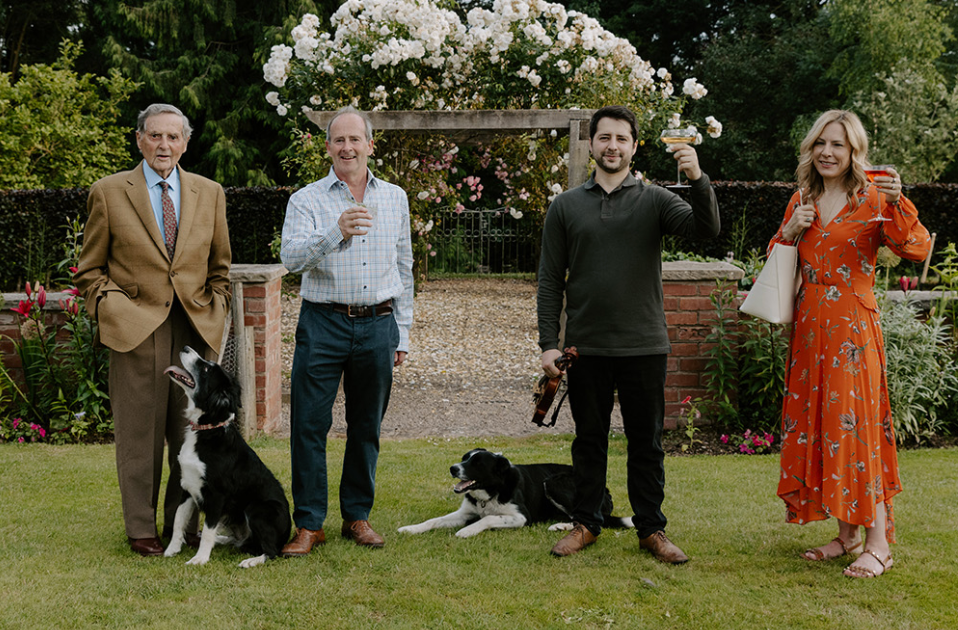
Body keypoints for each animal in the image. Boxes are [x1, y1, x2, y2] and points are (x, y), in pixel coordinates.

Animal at [163, 348, 290, 572]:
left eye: (206, 369)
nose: (186, 348)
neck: (206, 431)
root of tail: (288, 536)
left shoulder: (216, 495)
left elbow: (207, 529)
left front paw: (200, 558)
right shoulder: (188, 486)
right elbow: (179, 519)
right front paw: (172, 549)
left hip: (257, 508)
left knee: (271, 551)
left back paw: (251, 560)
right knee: (242, 541)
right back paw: (223, 540)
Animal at [400, 450, 636, 540]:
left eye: (477, 463)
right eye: (465, 458)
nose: (452, 468)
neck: (491, 491)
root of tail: (605, 490)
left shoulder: (521, 517)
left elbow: (488, 519)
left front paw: (468, 530)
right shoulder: (465, 513)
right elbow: (433, 521)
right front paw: (411, 528)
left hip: (553, 482)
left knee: (587, 520)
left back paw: (562, 527)